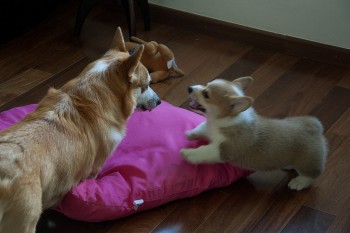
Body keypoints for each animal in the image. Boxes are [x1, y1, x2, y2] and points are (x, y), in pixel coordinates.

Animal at [182, 77, 326, 190]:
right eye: (206, 84)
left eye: (206, 94)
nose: (189, 88)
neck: (222, 120)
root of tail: (315, 128)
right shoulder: (209, 127)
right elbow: (202, 128)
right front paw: (190, 133)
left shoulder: (225, 149)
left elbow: (204, 151)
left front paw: (188, 154)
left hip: (307, 162)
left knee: (310, 175)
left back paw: (298, 182)